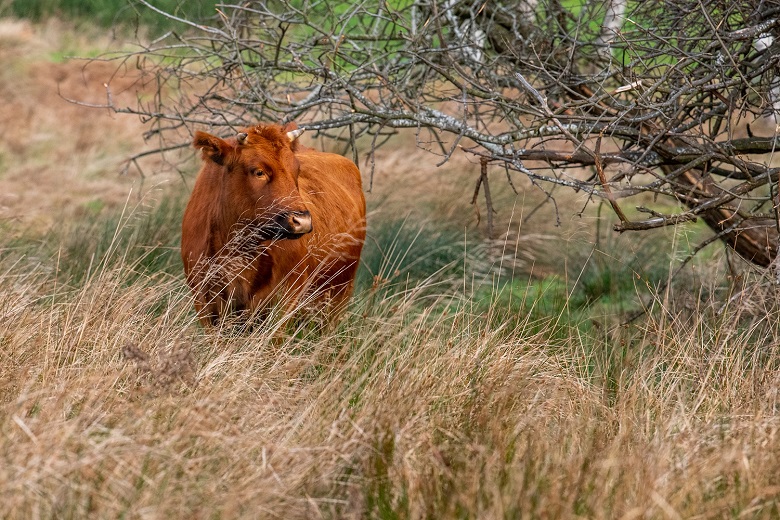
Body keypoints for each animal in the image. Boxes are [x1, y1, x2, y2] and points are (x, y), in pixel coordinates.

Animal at [181, 121, 368, 324]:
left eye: (297, 170)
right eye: (259, 172)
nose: (302, 220)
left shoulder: (284, 300)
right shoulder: (206, 304)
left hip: (337, 296)